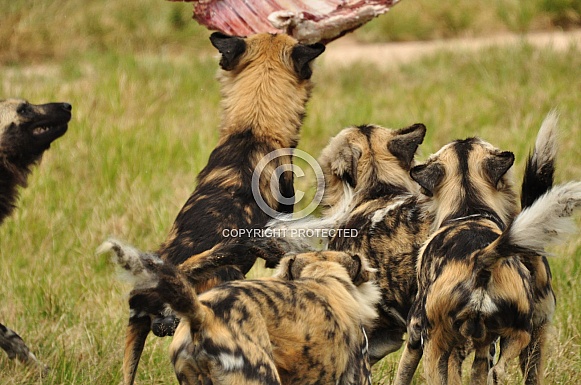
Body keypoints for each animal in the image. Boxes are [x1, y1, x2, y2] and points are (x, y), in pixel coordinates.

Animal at [394, 118, 580, 384]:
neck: (469, 207)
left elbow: (402, 374)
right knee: (502, 370)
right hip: (525, 334)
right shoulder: (484, 348)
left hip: (434, 345)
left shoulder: (415, 335)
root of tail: (481, 260)